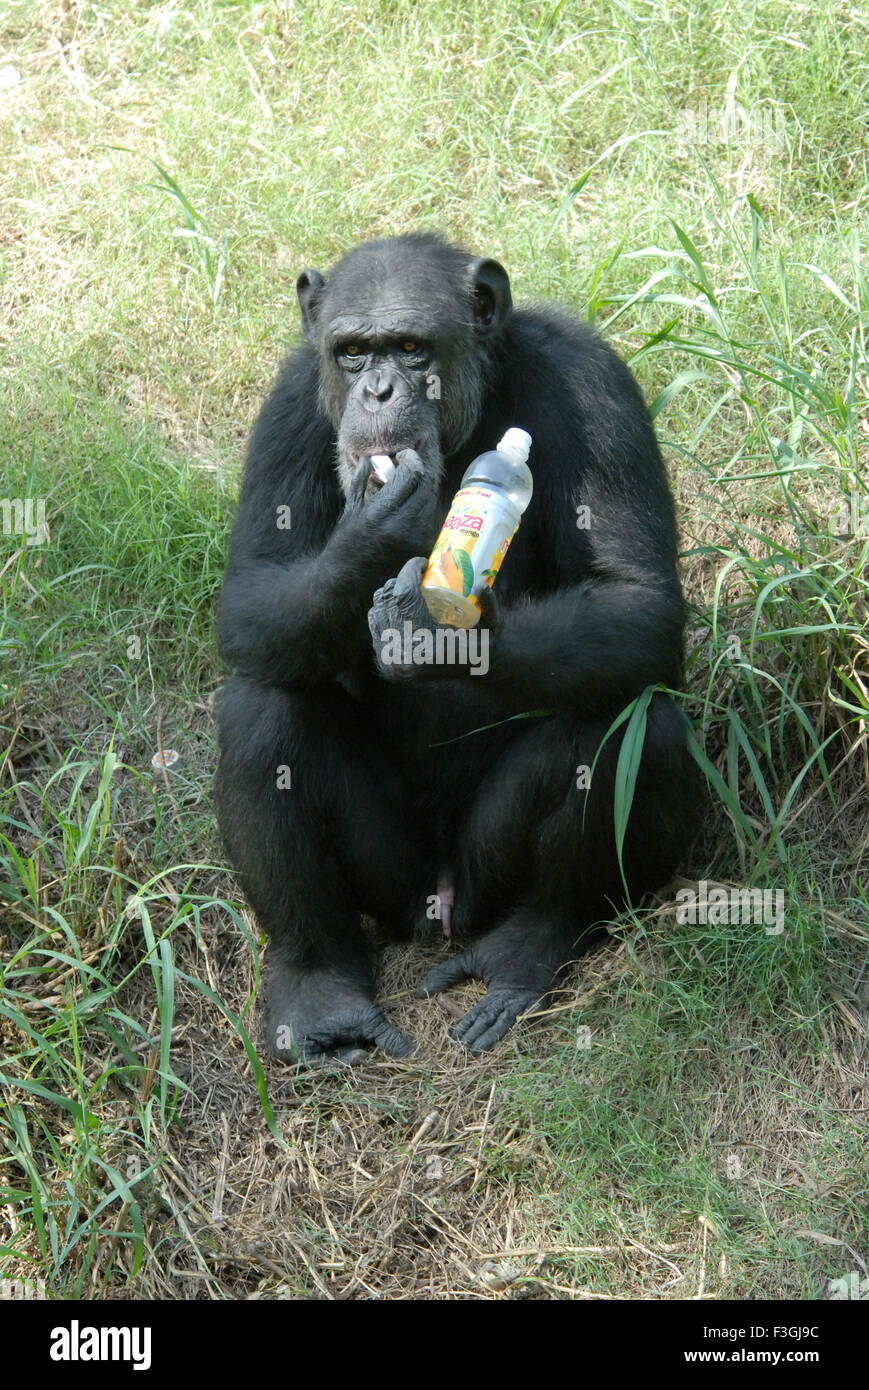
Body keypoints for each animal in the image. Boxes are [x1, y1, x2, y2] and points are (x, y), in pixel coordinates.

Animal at [215, 233, 697, 1056]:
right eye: (351, 353)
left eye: (412, 348)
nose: (378, 392)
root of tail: (441, 901)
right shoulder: (287, 407)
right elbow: (251, 594)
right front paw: (373, 533)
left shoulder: (594, 383)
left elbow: (635, 599)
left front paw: (442, 630)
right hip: (391, 881)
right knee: (261, 713)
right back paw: (319, 988)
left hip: (485, 874)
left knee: (629, 720)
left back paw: (527, 946)